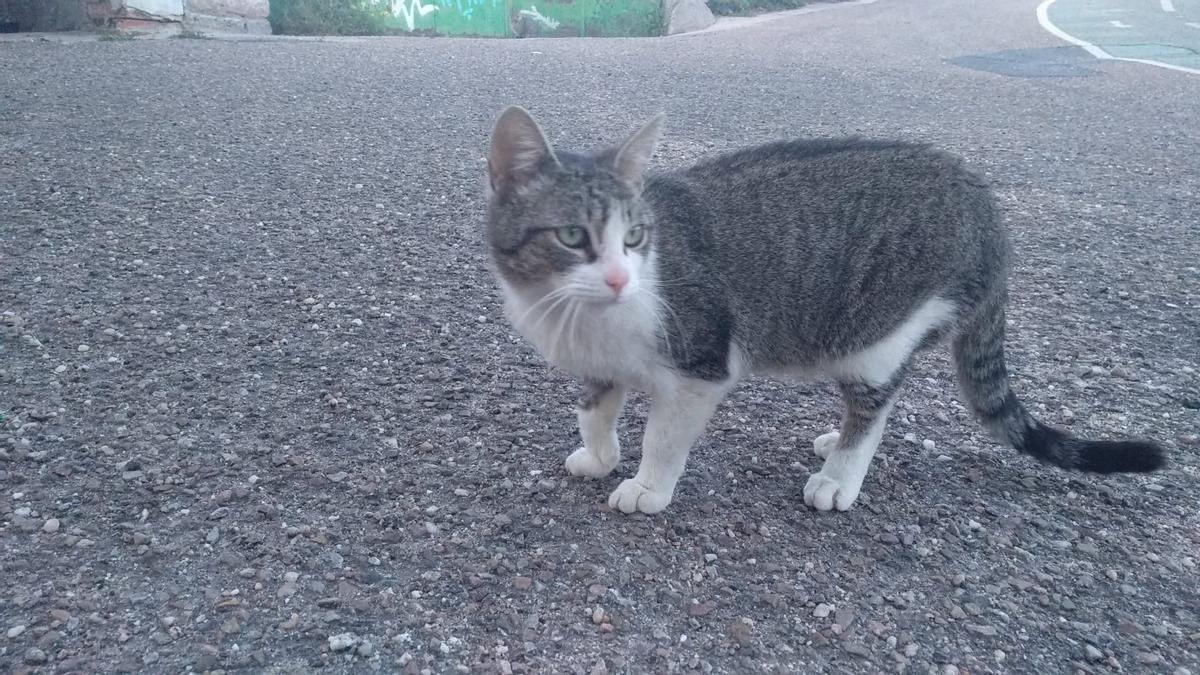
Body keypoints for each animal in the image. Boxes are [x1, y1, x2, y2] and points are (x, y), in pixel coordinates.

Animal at [482, 106, 1166, 514]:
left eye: (635, 238)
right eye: (574, 237)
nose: (622, 277)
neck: (581, 317)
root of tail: (983, 204)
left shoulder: (699, 367)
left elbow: (663, 436)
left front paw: (647, 486)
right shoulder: (598, 366)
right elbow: (593, 413)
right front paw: (600, 456)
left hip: (880, 329)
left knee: (875, 407)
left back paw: (840, 473)